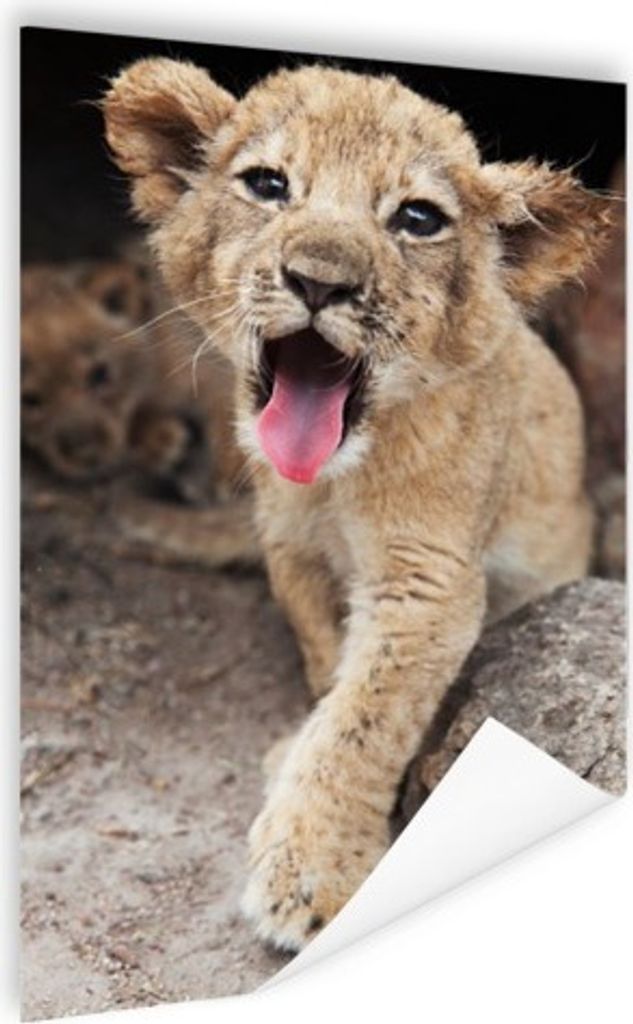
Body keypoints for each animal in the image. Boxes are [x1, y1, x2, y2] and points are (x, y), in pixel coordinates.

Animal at [103, 58, 612, 951]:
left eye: (416, 218)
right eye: (267, 185)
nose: (319, 281)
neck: (333, 484)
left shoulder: (429, 581)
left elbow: (364, 720)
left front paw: (310, 867)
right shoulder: (292, 553)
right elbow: (324, 667)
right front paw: (294, 762)